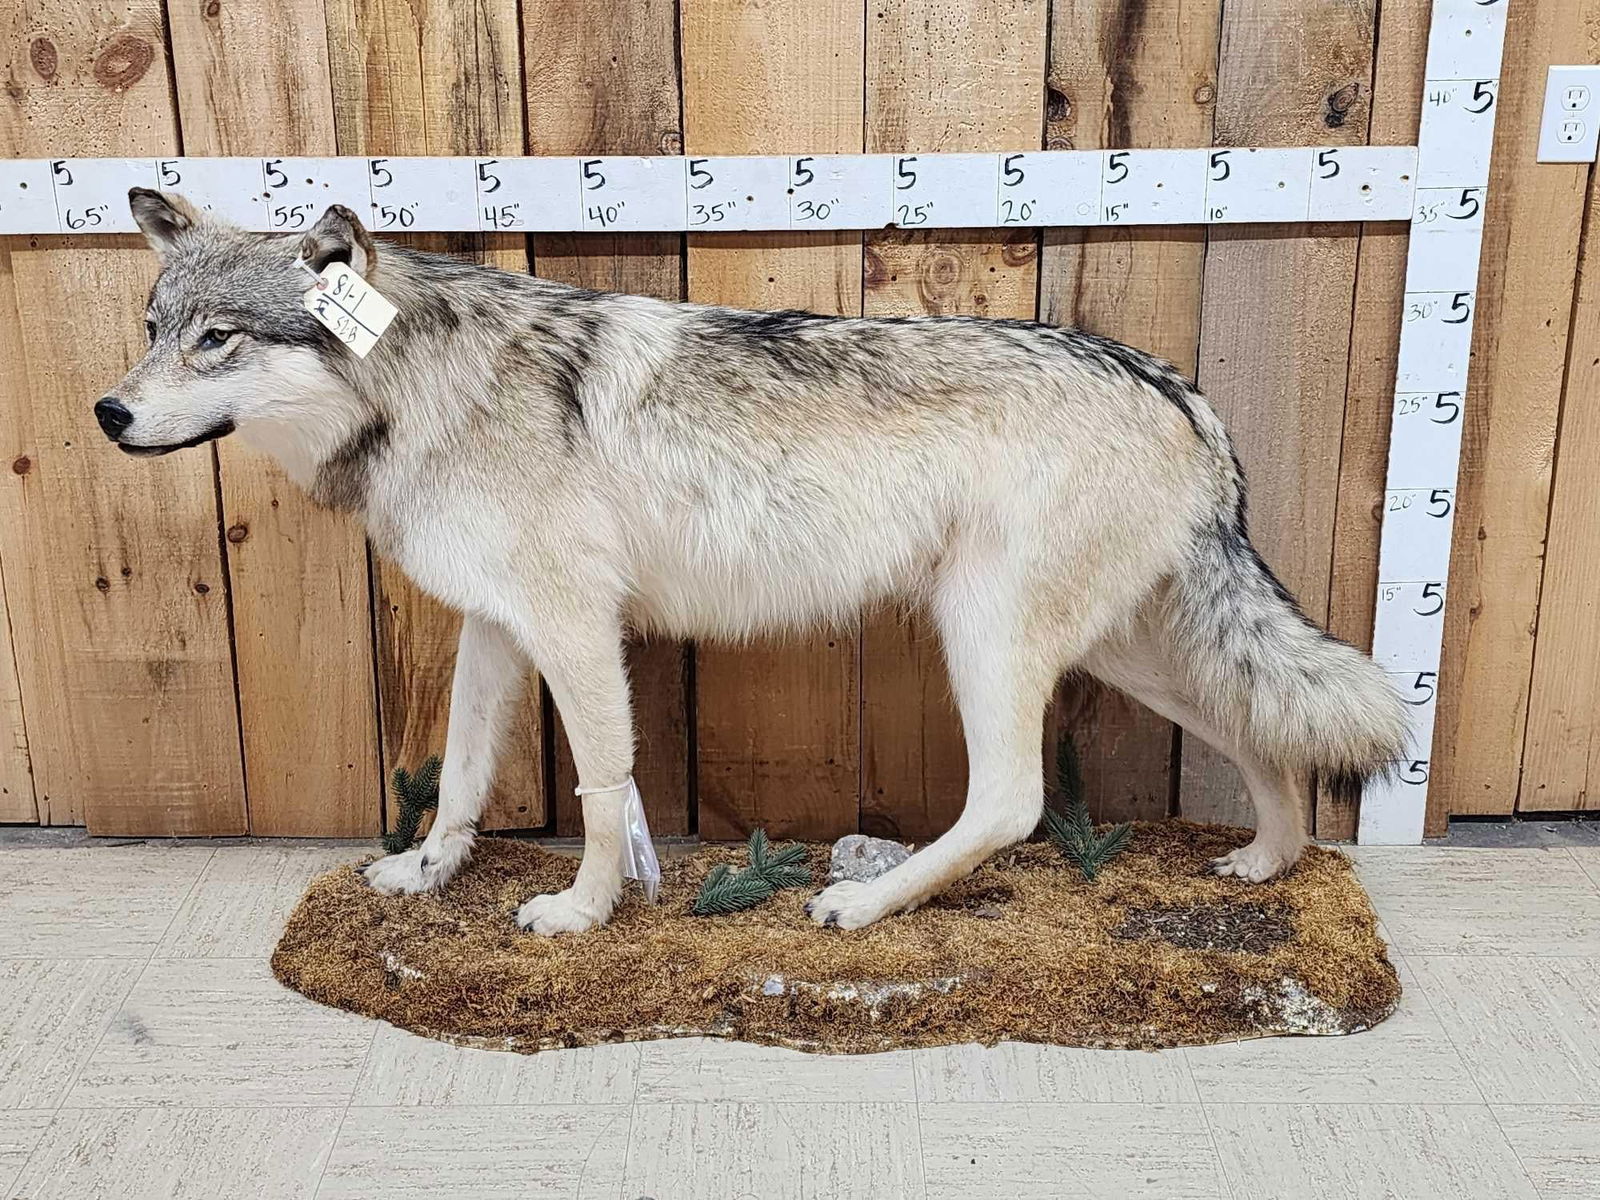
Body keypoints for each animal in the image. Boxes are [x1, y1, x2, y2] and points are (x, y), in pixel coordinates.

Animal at [98, 189, 1405, 933]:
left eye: (219, 340)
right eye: (154, 328)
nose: (109, 413)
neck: (425, 390)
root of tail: (1176, 385)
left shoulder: (576, 627)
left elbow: (602, 788)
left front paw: (581, 914)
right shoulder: (499, 628)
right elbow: (462, 777)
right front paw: (425, 879)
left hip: (989, 637)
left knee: (1015, 802)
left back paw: (861, 904)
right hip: (1118, 648)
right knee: (1261, 734)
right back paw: (1269, 863)